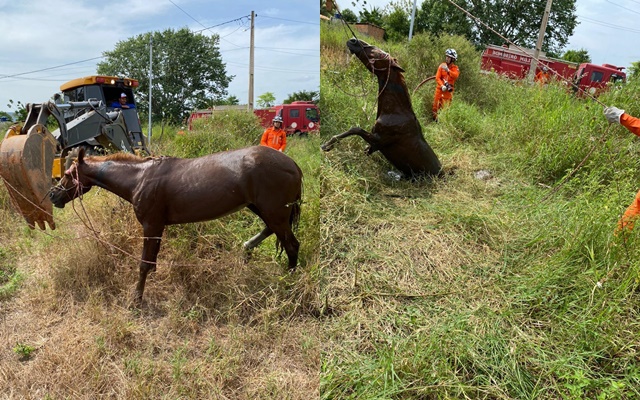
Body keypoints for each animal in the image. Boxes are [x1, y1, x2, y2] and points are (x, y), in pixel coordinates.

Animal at [48, 145, 304, 302]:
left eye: (68, 174)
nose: (53, 195)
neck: (139, 178)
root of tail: (292, 163)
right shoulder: (158, 227)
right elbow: (151, 263)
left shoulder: (151, 226)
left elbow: (144, 264)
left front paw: (136, 298)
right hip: (263, 209)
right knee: (272, 232)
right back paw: (247, 248)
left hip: (274, 211)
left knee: (291, 245)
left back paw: (289, 282)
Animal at [320, 39, 440, 180]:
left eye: (380, 55)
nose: (353, 41)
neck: (396, 113)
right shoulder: (375, 145)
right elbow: (365, 149)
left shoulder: (378, 140)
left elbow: (355, 130)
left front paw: (327, 145)